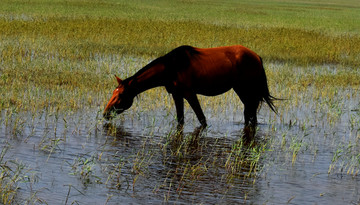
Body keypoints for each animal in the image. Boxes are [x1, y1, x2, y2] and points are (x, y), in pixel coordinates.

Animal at [102, 44, 278, 132]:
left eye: (120, 95)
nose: (105, 113)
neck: (171, 67)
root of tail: (257, 57)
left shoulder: (189, 93)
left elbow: (202, 119)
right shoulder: (177, 95)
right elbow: (180, 120)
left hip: (245, 89)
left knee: (250, 112)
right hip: (242, 91)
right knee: (250, 113)